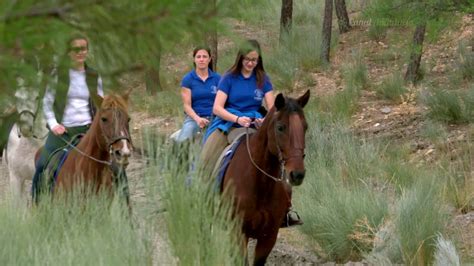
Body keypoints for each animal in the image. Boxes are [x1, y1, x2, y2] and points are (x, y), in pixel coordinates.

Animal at [223, 89, 312, 264]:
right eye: (280, 127)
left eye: (305, 127)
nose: (297, 174)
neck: (260, 184)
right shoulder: (239, 233)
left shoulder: (269, 236)